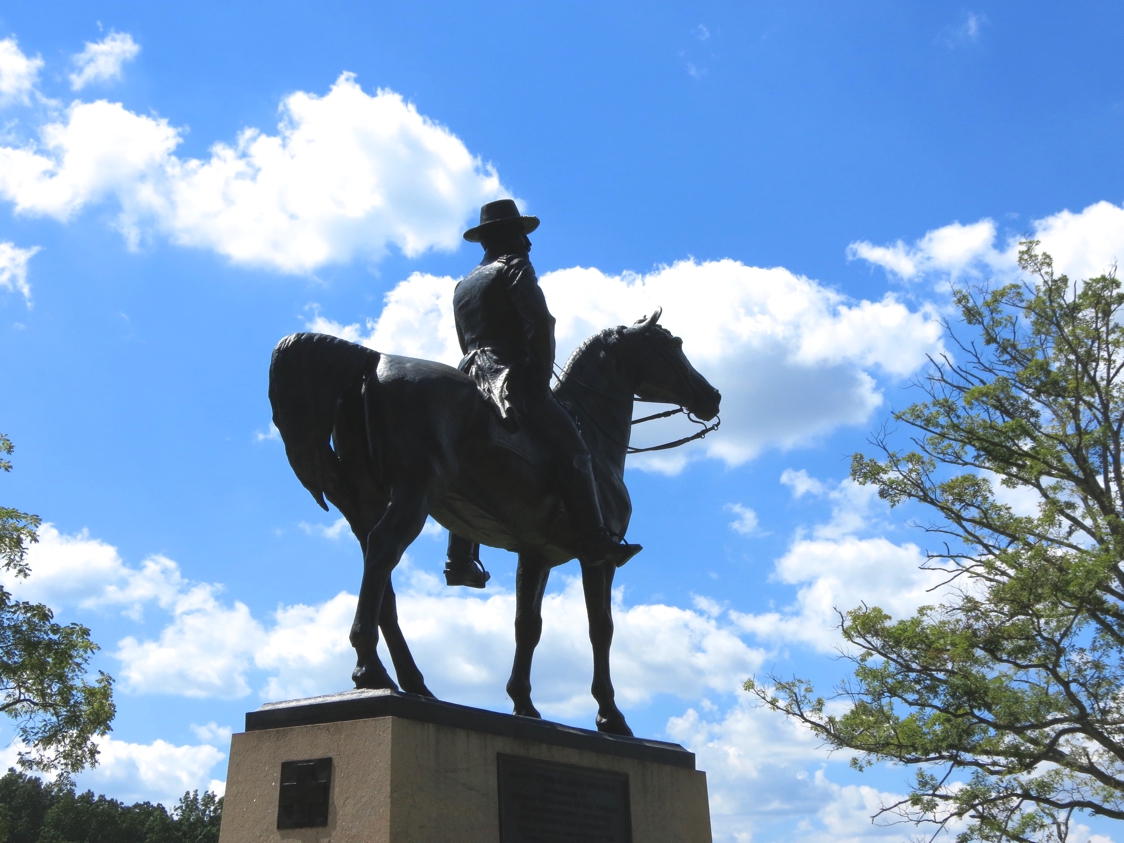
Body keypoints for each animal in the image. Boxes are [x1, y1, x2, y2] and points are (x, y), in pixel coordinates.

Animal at [273, 312, 723, 737]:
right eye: (674, 343)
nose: (712, 395)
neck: (595, 441)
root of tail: (374, 360)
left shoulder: (536, 555)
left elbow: (527, 626)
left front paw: (524, 704)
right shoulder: (599, 559)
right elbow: (601, 629)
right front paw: (611, 716)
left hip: (365, 502)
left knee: (382, 579)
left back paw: (409, 682)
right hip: (414, 492)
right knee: (383, 553)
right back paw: (369, 669)